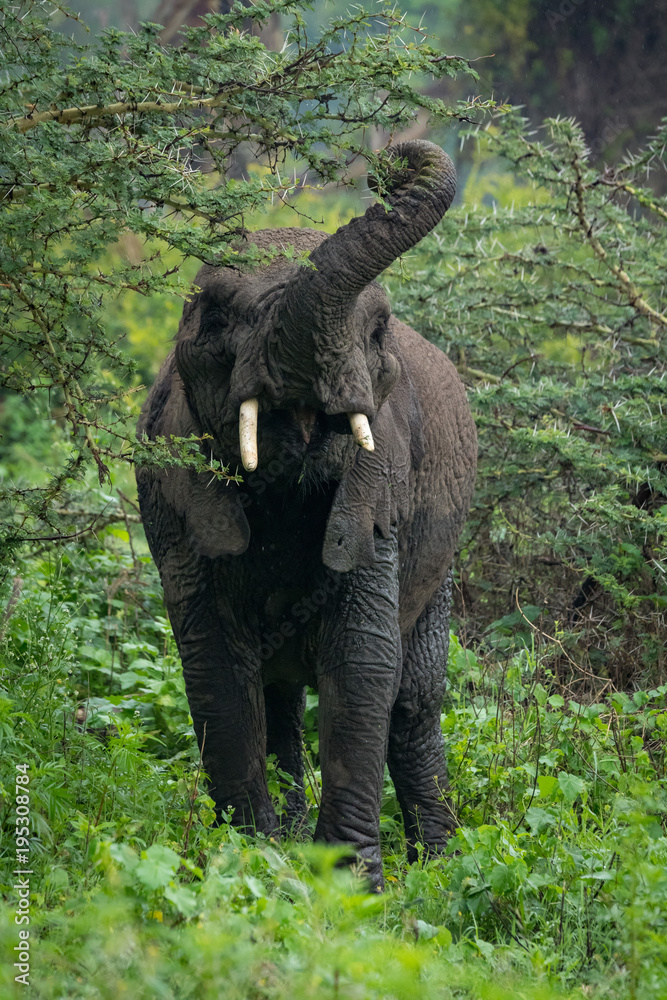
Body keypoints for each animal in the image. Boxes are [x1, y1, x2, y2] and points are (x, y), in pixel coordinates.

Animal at [136, 139, 477, 889]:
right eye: (215, 318)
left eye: (376, 332)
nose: (392, 165)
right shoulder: (172, 490)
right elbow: (216, 666)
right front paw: (248, 860)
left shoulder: (381, 485)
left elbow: (363, 663)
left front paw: (349, 886)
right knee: (278, 694)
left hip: (440, 562)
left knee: (413, 702)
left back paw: (439, 868)